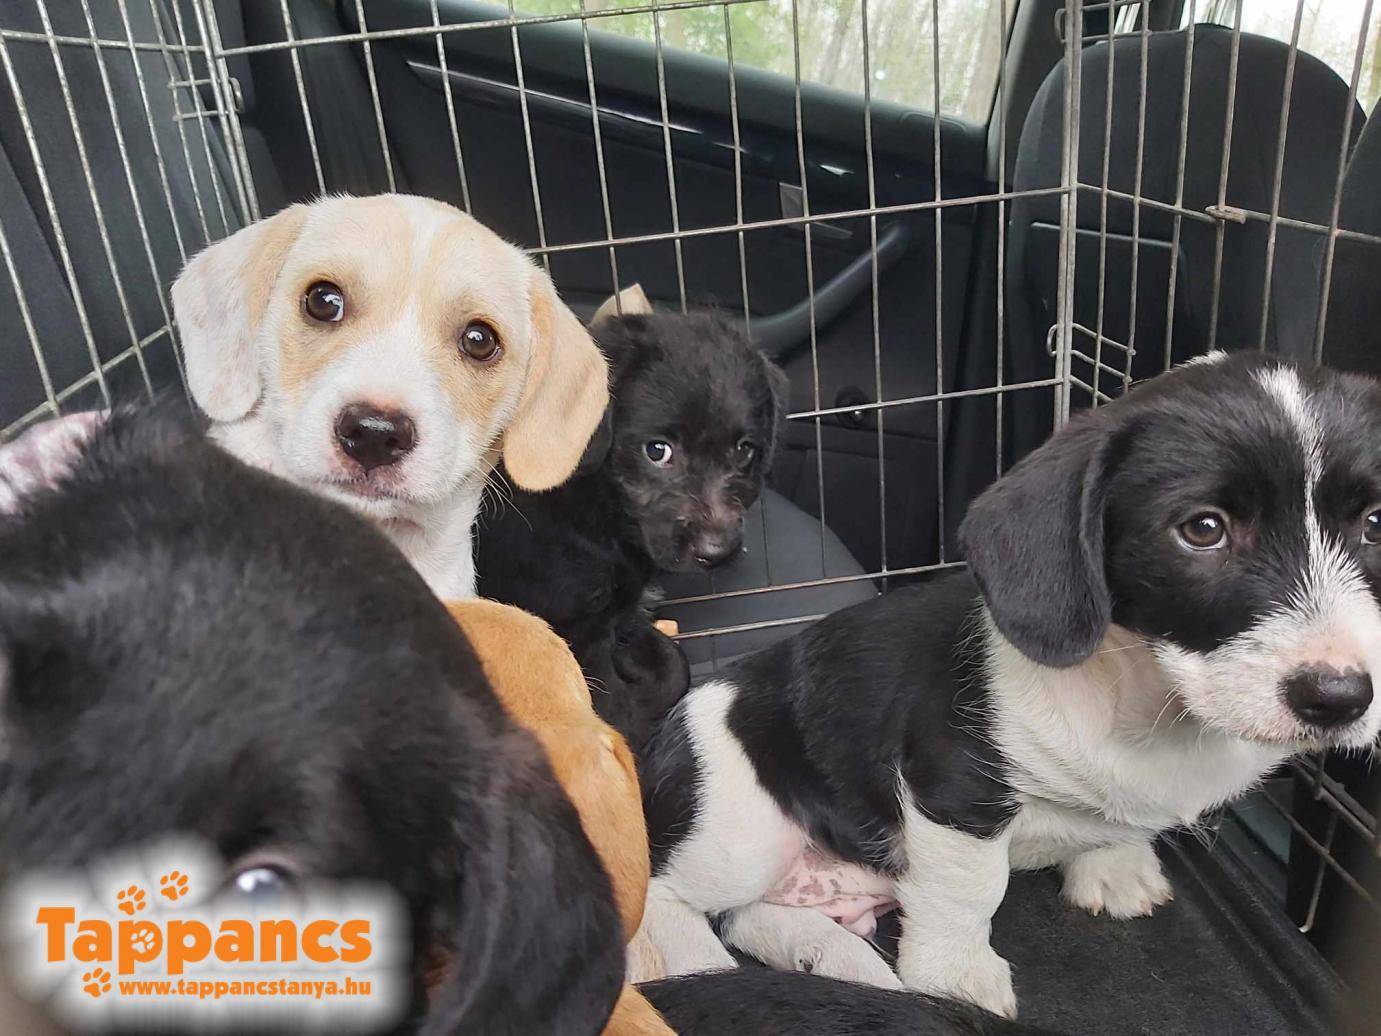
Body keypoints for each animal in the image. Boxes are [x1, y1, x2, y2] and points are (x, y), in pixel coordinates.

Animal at [476, 285, 787, 751]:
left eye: (744, 450)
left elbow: (673, 663)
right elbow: (615, 708)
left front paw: (643, 652)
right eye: (656, 450)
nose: (718, 553)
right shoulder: (575, 631)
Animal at [629, 353, 1381, 1018]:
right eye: (1203, 529)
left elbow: (1115, 822)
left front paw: (1113, 862)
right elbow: (970, 889)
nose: (1339, 698)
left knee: (750, 914)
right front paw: (954, 976)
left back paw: (831, 958)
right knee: (669, 895)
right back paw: (700, 970)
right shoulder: (955, 789)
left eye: (1375, 524)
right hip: (741, 827)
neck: (1143, 695)